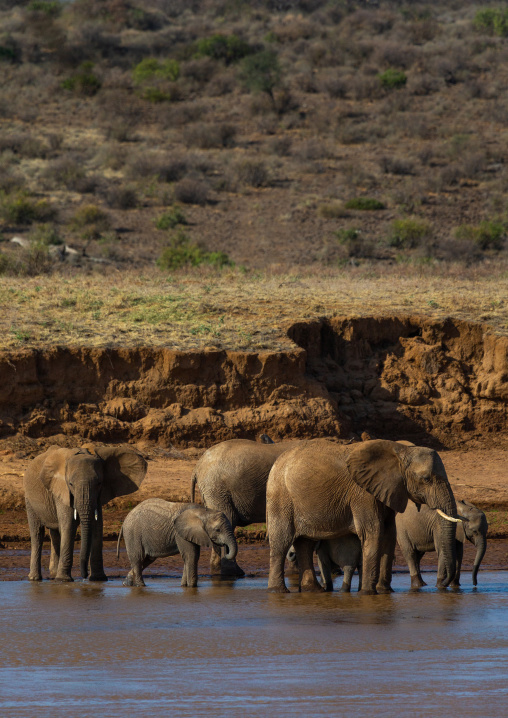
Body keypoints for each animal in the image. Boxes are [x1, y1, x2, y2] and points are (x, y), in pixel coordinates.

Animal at [24, 444, 147, 582]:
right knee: (37, 533)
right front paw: (64, 580)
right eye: (70, 484)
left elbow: (97, 527)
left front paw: (98, 579)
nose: (84, 575)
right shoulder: (63, 491)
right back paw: (35, 578)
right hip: (29, 499)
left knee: (55, 533)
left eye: (99, 483)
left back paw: (53, 575)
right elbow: (69, 526)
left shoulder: (98, 495)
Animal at [266, 438, 460, 594]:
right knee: (282, 542)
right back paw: (278, 591)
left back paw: (313, 590)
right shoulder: (362, 494)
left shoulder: (386, 490)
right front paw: (368, 593)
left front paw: (385, 591)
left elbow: (389, 534)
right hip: (280, 497)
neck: (400, 451)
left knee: (305, 543)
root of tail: (277, 462)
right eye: (426, 479)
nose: (441, 584)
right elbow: (373, 532)